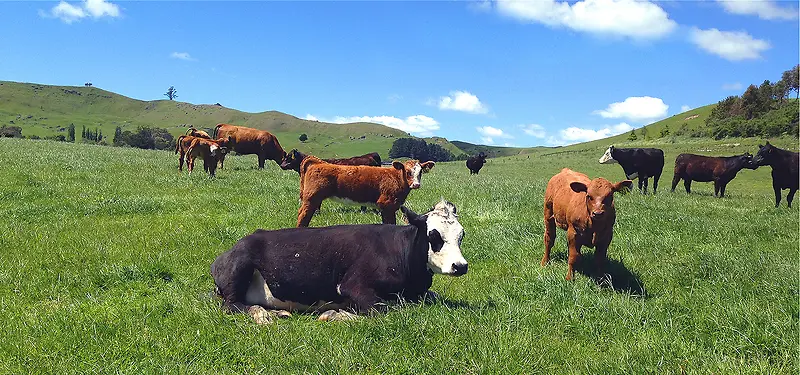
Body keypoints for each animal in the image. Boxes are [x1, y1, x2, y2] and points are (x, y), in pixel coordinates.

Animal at [209, 198, 468, 324]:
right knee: (231, 305)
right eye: (433, 235)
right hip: (239, 267)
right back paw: (266, 315)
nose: (461, 266)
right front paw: (335, 314)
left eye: (461, 235)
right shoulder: (353, 285)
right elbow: (383, 309)